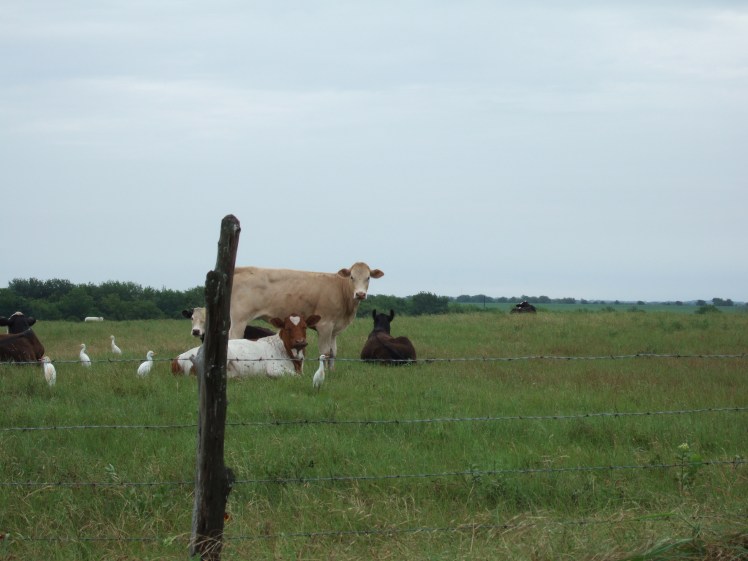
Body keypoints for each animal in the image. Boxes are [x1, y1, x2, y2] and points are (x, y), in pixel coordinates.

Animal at [171, 313, 321, 378]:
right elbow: (298, 377)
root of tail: (177, 358)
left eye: (304, 327)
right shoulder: (274, 369)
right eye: (288, 328)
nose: (300, 341)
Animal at [229, 262, 384, 369]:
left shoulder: (334, 329)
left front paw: (332, 371)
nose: (360, 294)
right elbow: (325, 352)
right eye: (352, 277)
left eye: (368, 278)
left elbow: (333, 352)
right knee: (234, 338)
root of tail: (242, 269)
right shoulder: (325, 325)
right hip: (239, 320)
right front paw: (323, 372)